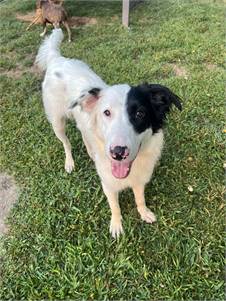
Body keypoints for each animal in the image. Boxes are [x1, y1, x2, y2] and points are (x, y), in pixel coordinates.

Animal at [36, 29, 183, 238]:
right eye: (106, 112)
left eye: (140, 114)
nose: (118, 153)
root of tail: (58, 59)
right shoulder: (108, 184)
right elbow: (115, 206)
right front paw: (116, 225)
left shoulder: (139, 179)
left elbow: (140, 198)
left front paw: (144, 213)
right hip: (57, 122)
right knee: (66, 142)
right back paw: (69, 162)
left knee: (83, 132)